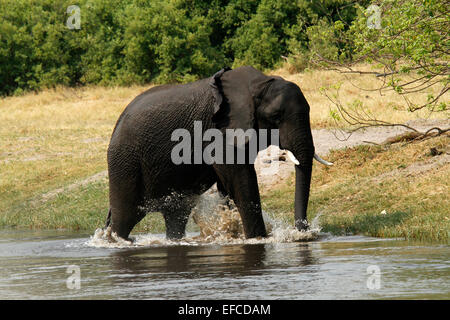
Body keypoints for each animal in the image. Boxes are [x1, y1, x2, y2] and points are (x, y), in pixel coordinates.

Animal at [104, 65, 330, 240]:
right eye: (275, 117)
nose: (302, 232)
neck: (258, 84)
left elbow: (228, 184)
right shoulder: (217, 130)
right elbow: (240, 179)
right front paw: (258, 239)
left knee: (177, 214)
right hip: (124, 161)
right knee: (125, 216)